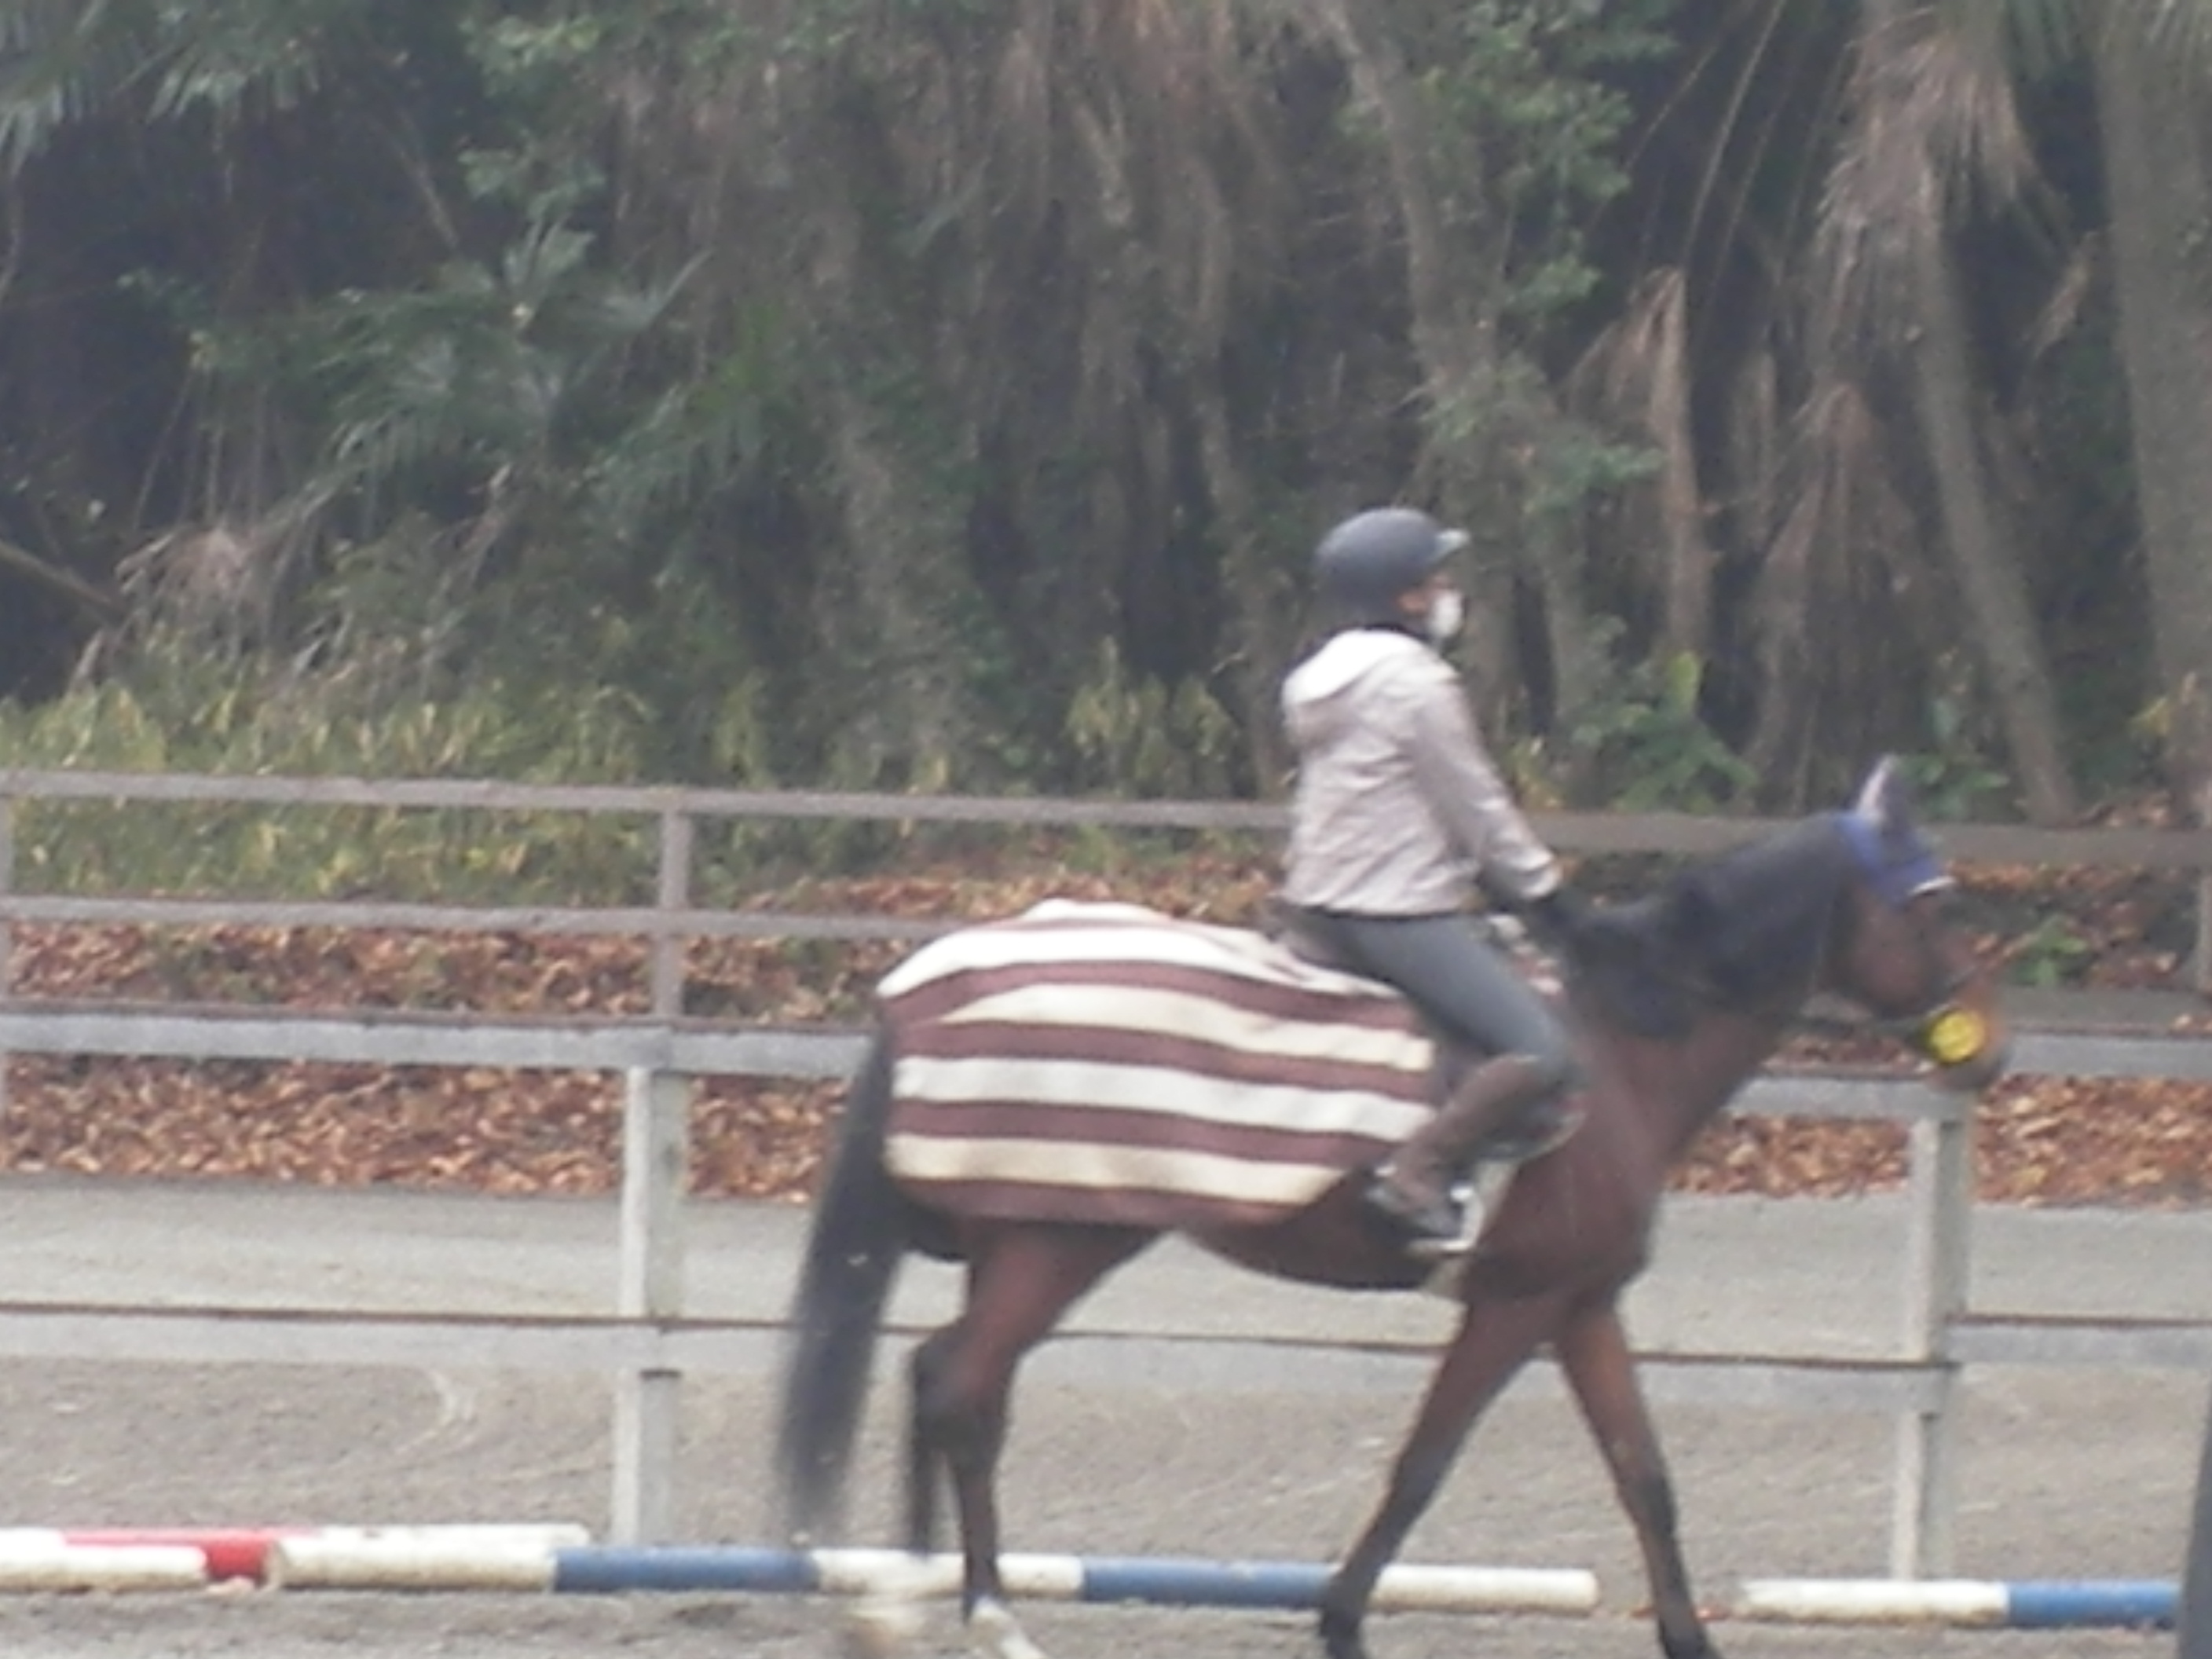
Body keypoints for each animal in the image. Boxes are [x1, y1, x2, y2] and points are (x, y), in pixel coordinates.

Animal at [775, 759, 2010, 1659]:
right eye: (1937, 902)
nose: (1989, 1052)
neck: (1624, 1046)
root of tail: (930, 978)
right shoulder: (1515, 1303)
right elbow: (1422, 1465)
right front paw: (1339, 1622)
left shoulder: (1580, 1303)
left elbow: (1644, 1477)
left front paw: (1689, 1642)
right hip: (1059, 1240)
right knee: (960, 1383)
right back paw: (984, 1615)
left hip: (1034, 1233)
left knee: (950, 1384)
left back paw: (919, 1599)